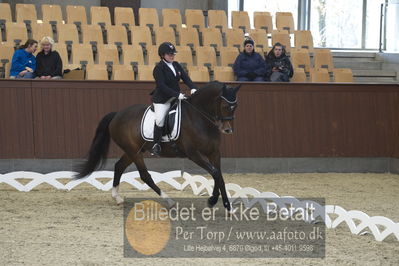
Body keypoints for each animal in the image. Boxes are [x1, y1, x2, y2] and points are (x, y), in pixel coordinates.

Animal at [75, 81, 241, 212]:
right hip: (134, 152)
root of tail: (117, 114)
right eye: (225, 105)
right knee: (145, 175)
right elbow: (215, 173)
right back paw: (170, 201)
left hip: (133, 151)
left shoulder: (214, 152)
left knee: (119, 166)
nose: (228, 130)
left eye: (236, 106)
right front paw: (217, 202)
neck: (199, 118)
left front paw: (223, 204)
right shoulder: (193, 154)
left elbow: (219, 175)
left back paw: (117, 198)